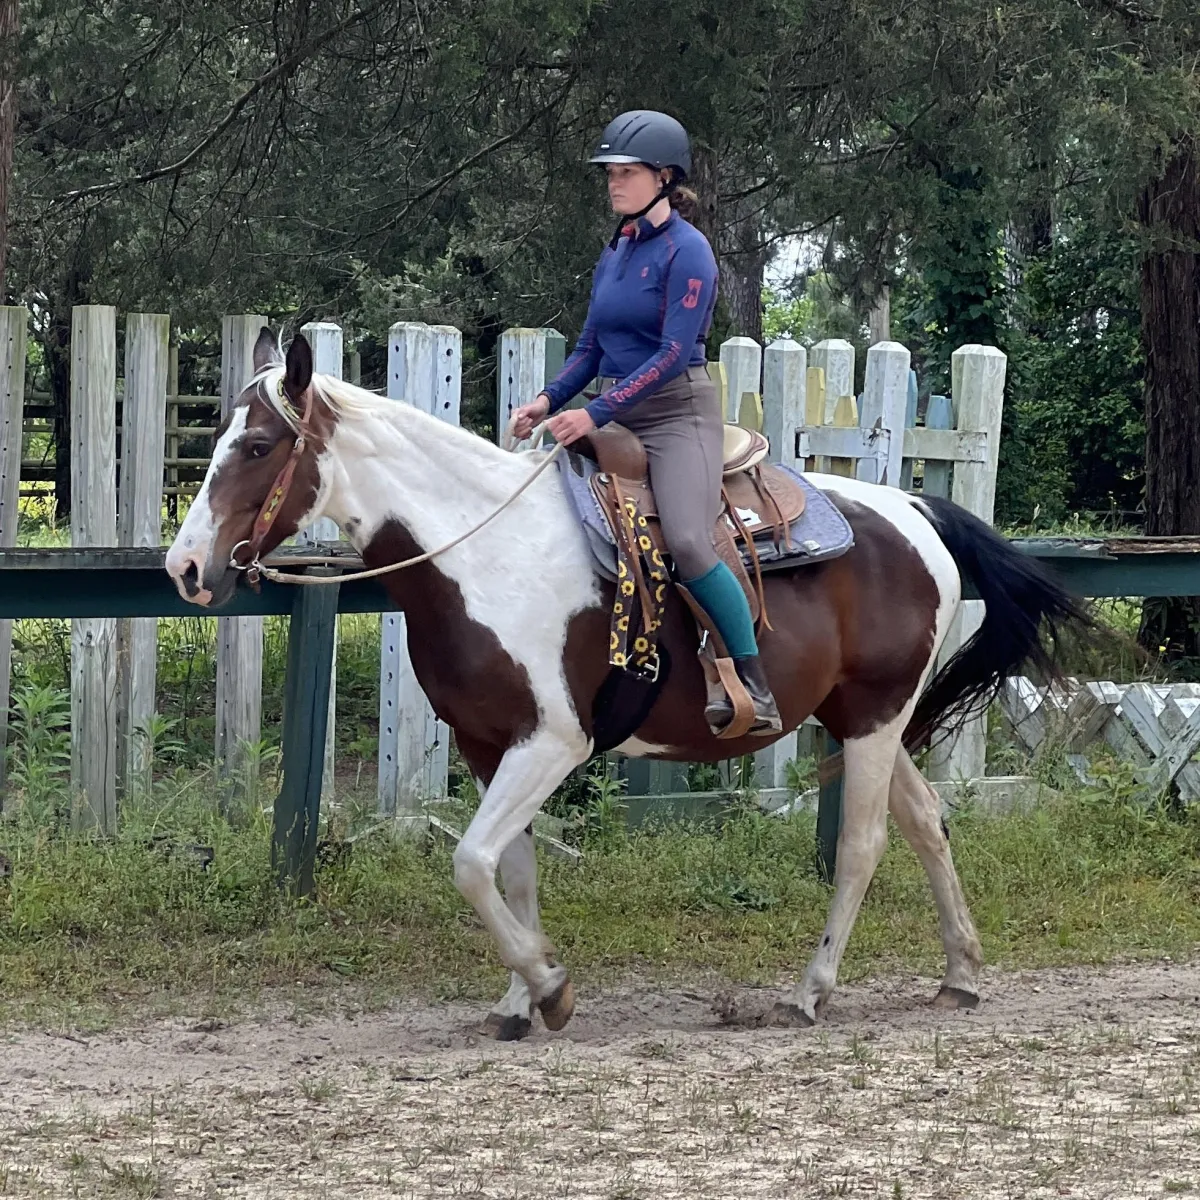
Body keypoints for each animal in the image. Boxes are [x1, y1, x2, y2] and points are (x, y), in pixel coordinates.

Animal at [164, 331, 1094, 1041]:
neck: (486, 554)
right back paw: (961, 971)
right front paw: (519, 1001)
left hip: (872, 717)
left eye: (257, 447)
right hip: (865, 718)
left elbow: (470, 861)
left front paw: (550, 987)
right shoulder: (489, 745)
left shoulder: (553, 742)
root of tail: (915, 510)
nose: (186, 569)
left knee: (863, 845)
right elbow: (509, 871)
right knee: (928, 822)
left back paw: (812, 991)